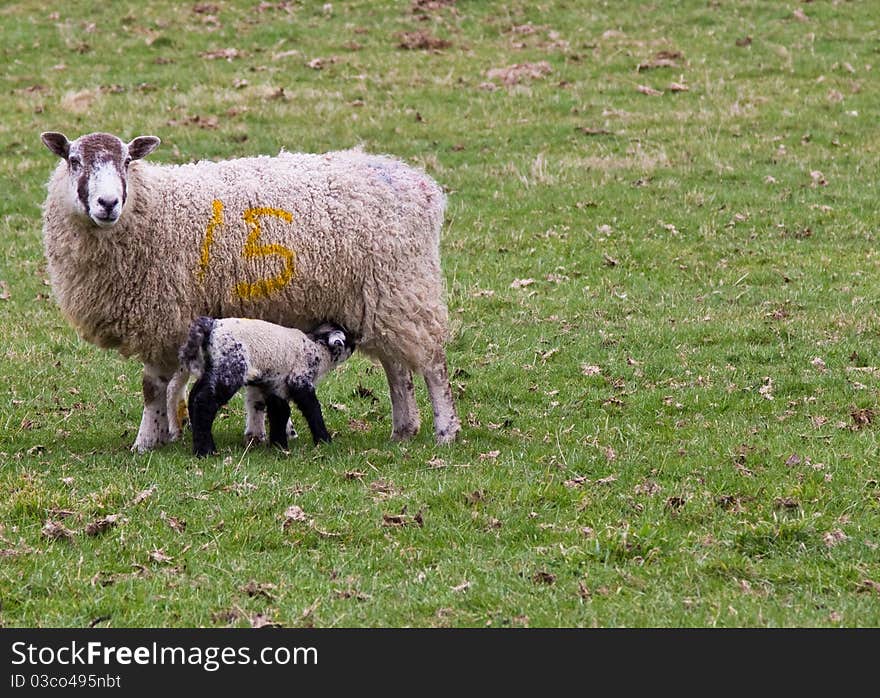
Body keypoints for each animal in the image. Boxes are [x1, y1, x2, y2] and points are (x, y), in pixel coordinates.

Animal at [177, 316, 356, 456]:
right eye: (347, 337)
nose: (355, 344)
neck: (319, 350)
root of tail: (211, 325)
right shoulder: (300, 379)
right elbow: (312, 409)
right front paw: (324, 440)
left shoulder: (277, 385)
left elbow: (280, 412)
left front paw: (279, 446)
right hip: (231, 367)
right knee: (204, 402)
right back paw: (205, 450)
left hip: (213, 367)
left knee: (194, 396)